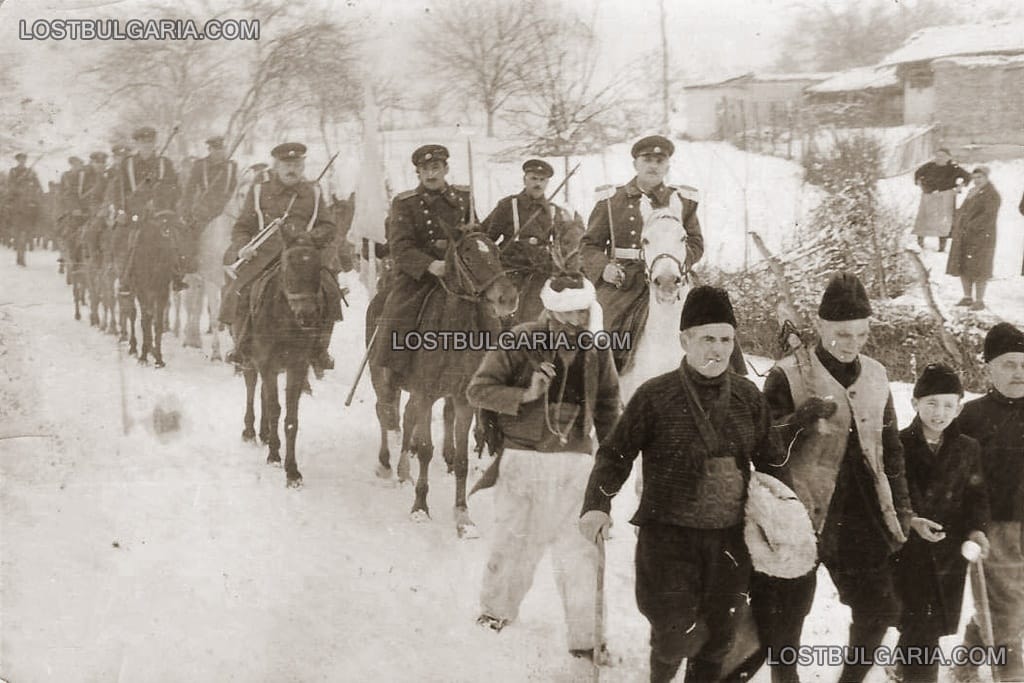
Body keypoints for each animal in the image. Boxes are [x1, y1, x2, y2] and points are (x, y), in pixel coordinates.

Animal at [179, 169, 254, 358]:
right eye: (241, 194)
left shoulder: (231, 285)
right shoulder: (213, 283)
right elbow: (214, 317)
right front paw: (216, 353)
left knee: (196, 305)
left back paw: (194, 339)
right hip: (192, 278)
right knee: (190, 306)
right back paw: (188, 339)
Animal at [368, 229, 520, 540]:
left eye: (497, 253)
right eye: (469, 257)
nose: (508, 297)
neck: (454, 331)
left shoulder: (462, 400)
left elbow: (462, 460)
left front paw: (463, 516)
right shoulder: (425, 393)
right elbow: (426, 449)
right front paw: (420, 507)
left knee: (404, 416)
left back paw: (403, 469)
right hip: (383, 379)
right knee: (385, 413)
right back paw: (387, 464)